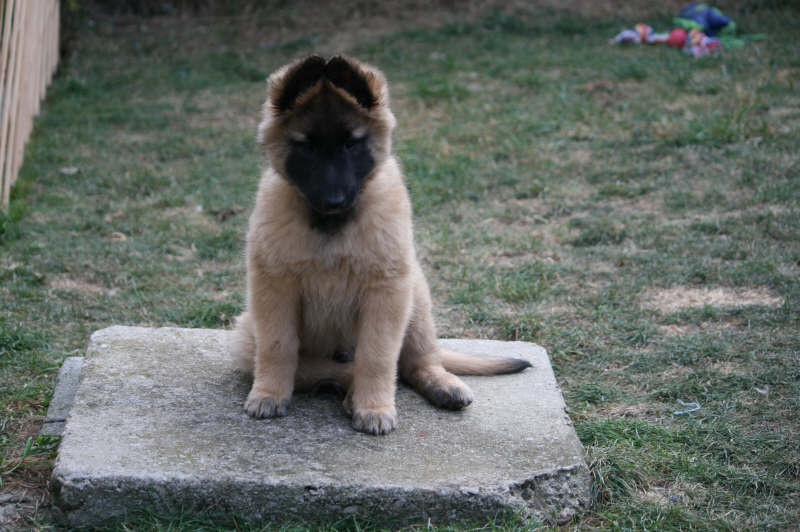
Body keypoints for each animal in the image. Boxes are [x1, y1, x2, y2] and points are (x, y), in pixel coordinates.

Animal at [232, 55, 531, 435]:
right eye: (307, 146)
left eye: (351, 144)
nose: (333, 200)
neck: (332, 226)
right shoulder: (273, 287)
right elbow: (277, 346)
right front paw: (269, 393)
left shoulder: (387, 291)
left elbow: (377, 356)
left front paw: (374, 407)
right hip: (246, 337)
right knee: (324, 369)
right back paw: (342, 387)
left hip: (416, 297)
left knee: (417, 361)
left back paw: (441, 385)